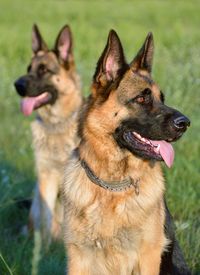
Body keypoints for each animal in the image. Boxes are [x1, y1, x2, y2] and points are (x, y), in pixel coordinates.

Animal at [14, 24, 82, 248]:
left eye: (43, 70)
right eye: (29, 68)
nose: (17, 85)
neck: (57, 125)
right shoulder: (47, 177)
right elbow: (46, 219)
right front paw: (44, 249)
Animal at [63, 30, 190, 275]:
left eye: (162, 98)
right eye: (141, 98)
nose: (186, 123)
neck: (113, 187)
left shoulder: (148, 258)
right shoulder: (79, 259)